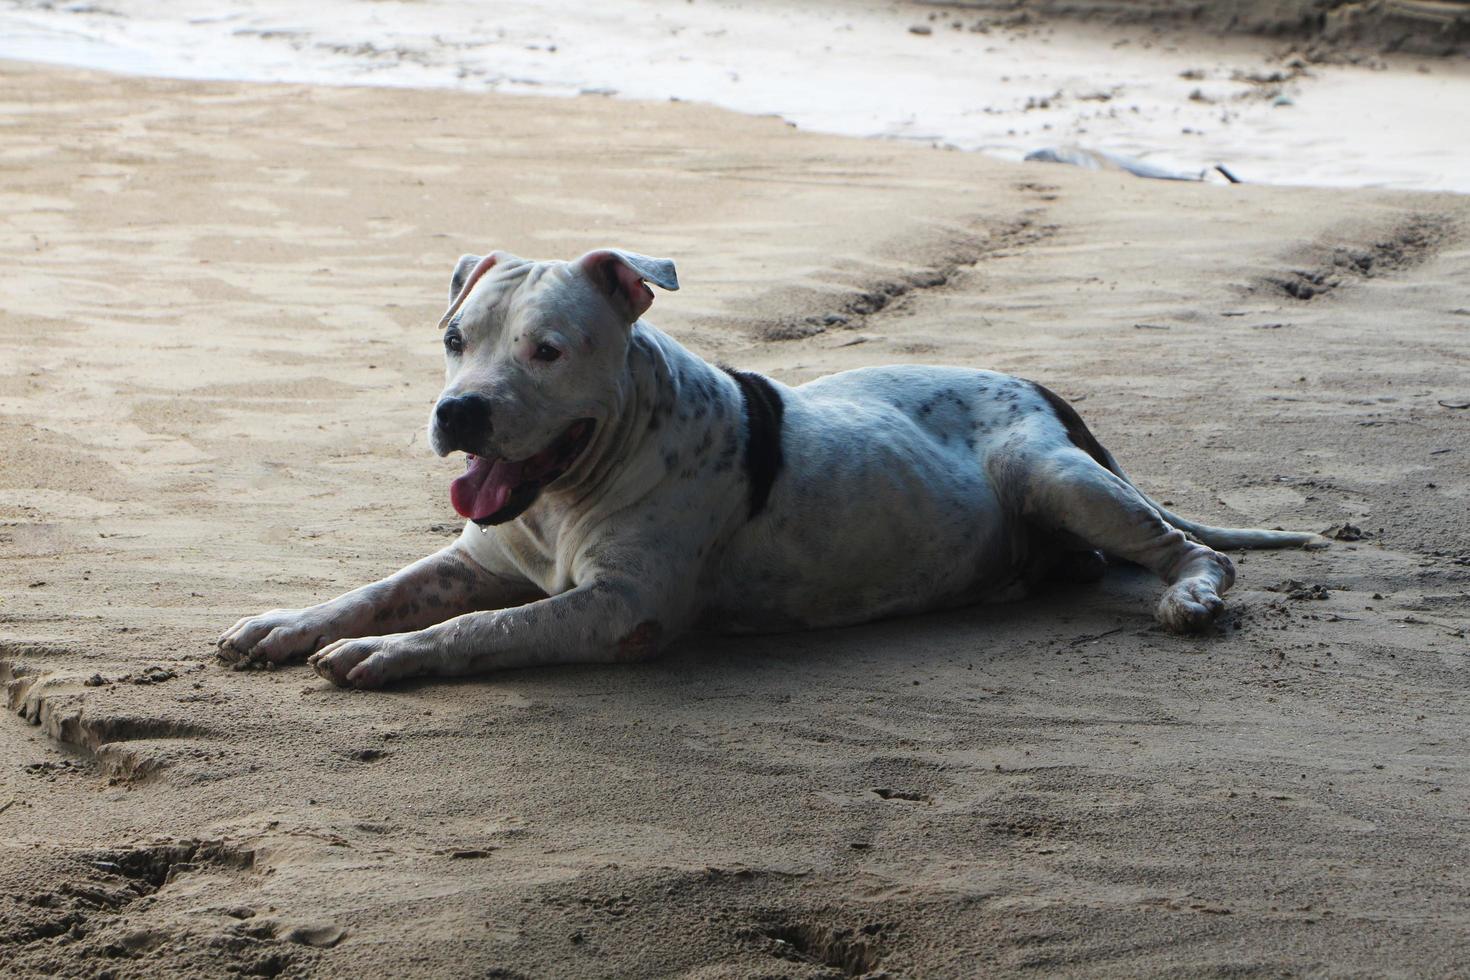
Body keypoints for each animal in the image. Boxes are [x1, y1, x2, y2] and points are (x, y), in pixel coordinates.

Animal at [214, 245, 1323, 690]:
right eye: (455, 339)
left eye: (548, 350)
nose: (459, 411)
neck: (575, 484)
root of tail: (1044, 387)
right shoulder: (476, 556)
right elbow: (378, 587)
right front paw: (288, 622)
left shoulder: (619, 608)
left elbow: (485, 627)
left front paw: (393, 653)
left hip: (1057, 476)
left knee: (1197, 552)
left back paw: (1190, 598)